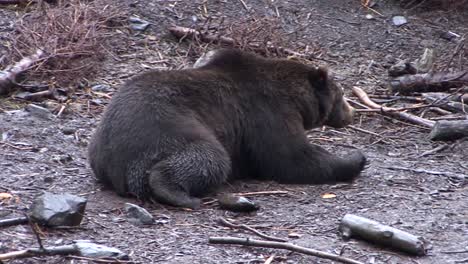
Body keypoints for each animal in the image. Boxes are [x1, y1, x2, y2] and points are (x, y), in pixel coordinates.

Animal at [87, 47, 366, 208]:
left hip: (100, 144)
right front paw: (355, 158)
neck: (298, 100)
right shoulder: (267, 112)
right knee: (210, 156)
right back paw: (183, 195)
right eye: (342, 94)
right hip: (166, 127)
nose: (351, 113)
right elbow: (291, 157)